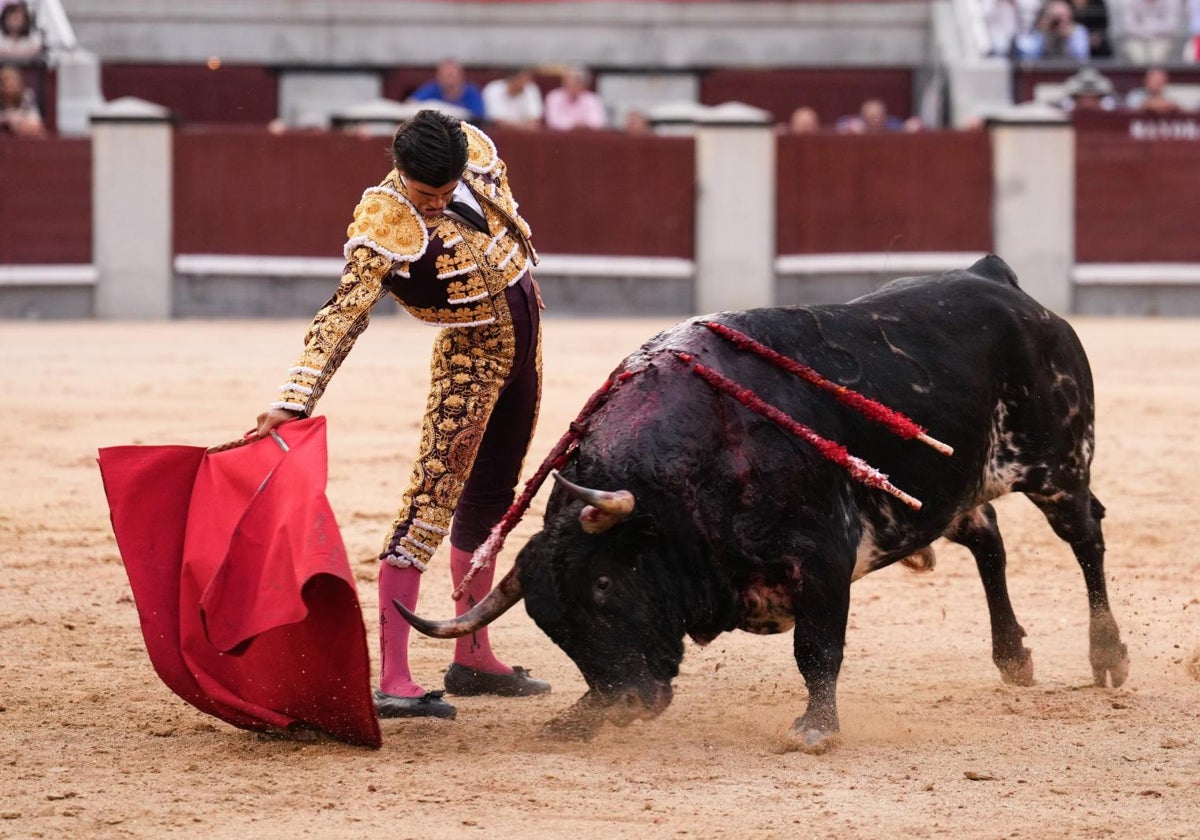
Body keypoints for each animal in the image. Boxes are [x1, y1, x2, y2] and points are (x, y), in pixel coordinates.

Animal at [398, 255, 1128, 753]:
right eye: (553, 623)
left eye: (606, 585)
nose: (625, 701)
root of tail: (997, 281)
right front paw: (578, 716)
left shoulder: (824, 559)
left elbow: (817, 649)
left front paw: (815, 729)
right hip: (951, 490)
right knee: (987, 537)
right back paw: (1014, 657)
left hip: (1057, 464)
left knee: (1086, 536)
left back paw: (1108, 656)